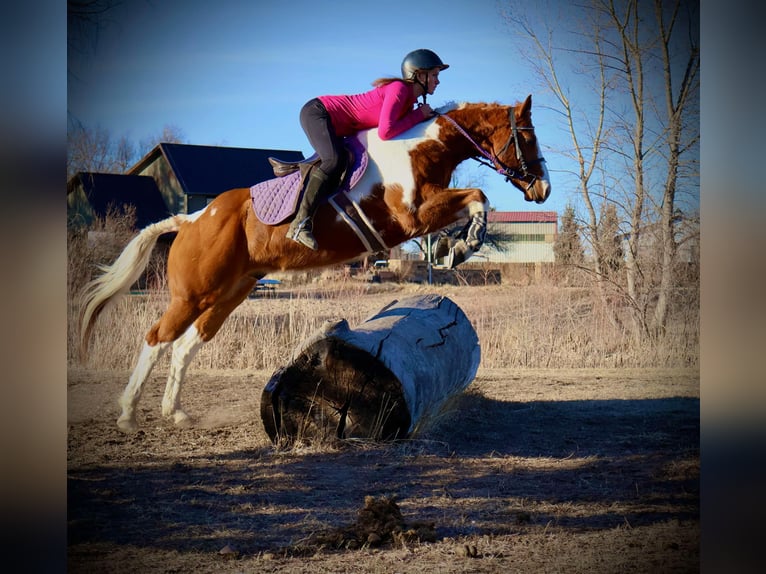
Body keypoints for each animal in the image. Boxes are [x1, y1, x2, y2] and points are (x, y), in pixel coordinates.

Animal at [79, 94, 552, 432]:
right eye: (528, 137)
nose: (543, 190)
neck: (421, 149)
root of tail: (192, 218)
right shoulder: (411, 217)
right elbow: (478, 196)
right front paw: (462, 246)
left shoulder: (425, 212)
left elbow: (474, 200)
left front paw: (452, 248)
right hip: (194, 292)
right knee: (157, 338)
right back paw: (128, 415)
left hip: (230, 293)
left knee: (185, 345)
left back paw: (175, 413)